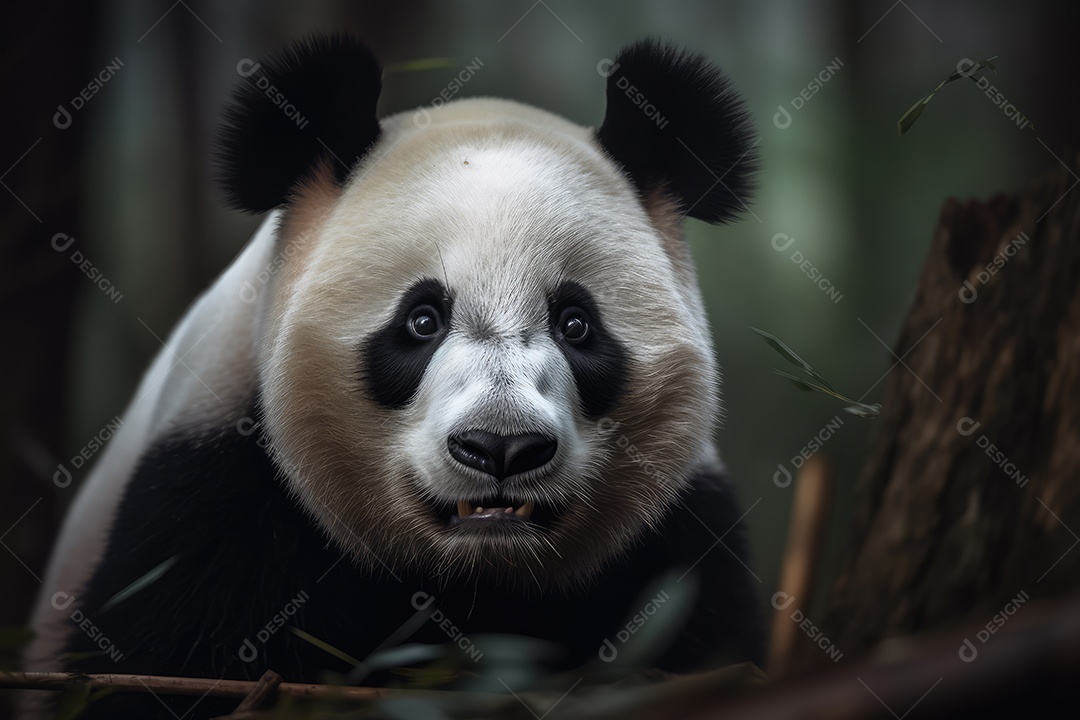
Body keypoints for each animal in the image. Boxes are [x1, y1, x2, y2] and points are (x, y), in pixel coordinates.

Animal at [25, 34, 761, 718]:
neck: (475, 576)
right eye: (422, 320)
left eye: (576, 324)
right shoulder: (207, 494)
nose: (501, 447)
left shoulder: (678, 538)